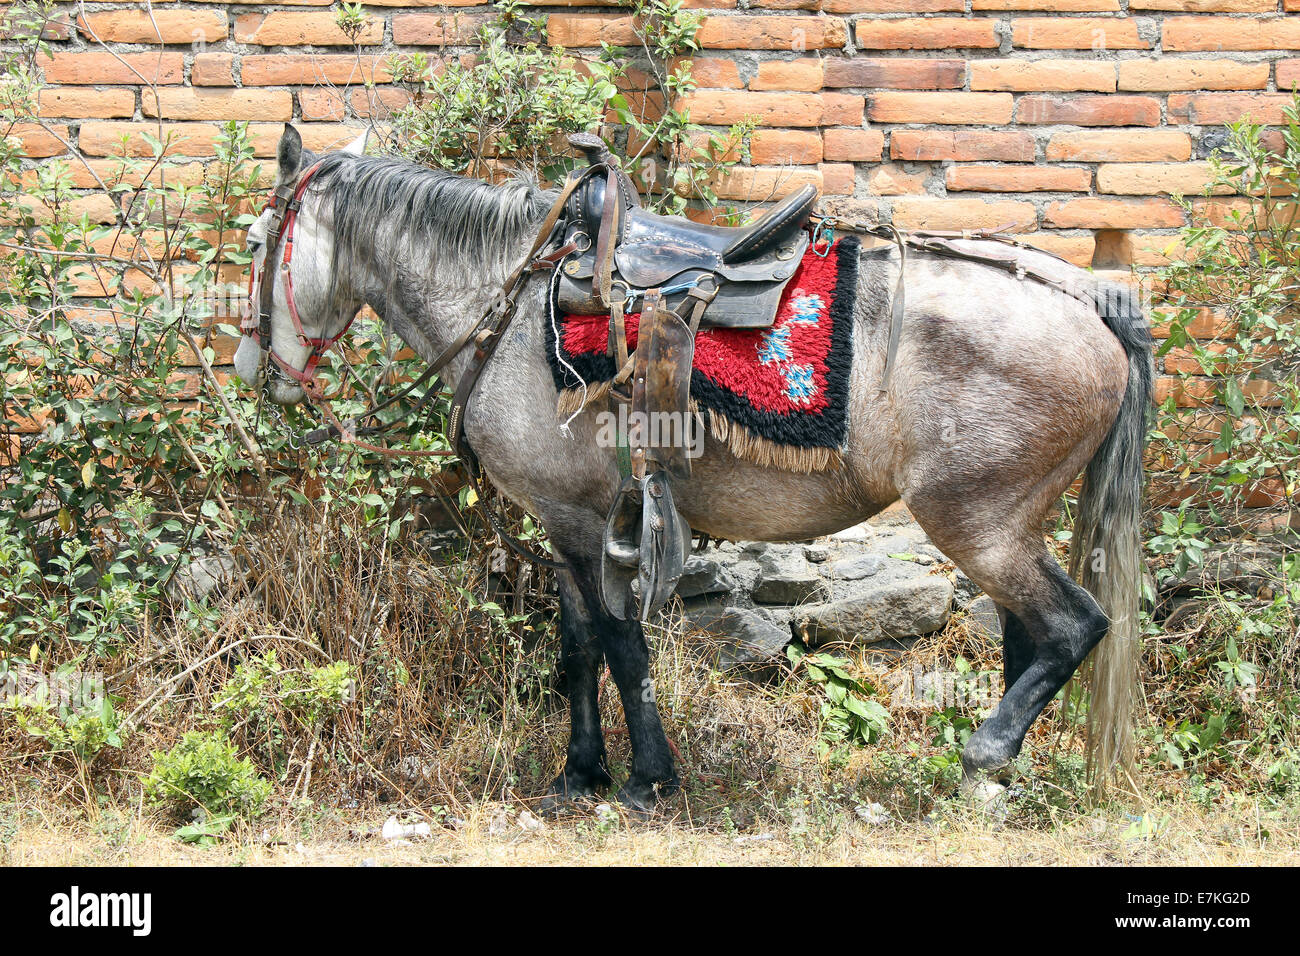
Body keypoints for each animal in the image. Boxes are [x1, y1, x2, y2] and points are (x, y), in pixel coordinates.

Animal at [239, 127, 1154, 816]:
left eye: (254, 241)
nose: (255, 368)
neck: (513, 305)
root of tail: (1088, 295)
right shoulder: (565, 520)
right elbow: (579, 647)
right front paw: (580, 773)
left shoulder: (578, 525)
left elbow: (619, 645)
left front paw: (647, 778)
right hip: (1006, 525)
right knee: (1030, 635)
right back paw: (1002, 776)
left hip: (976, 523)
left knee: (1073, 626)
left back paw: (984, 756)